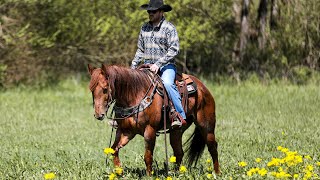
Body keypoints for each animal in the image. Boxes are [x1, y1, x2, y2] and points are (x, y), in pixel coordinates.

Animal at [87, 64, 220, 176]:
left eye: (105, 88)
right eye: (91, 90)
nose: (99, 114)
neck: (134, 95)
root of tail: (203, 88)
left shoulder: (149, 131)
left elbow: (148, 156)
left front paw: (149, 175)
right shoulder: (125, 131)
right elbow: (114, 150)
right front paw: (119, 171)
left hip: (206, 126)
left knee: (212, 147)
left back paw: (217, 173)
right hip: (177, 130)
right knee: (179, 152)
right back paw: (177, 174)